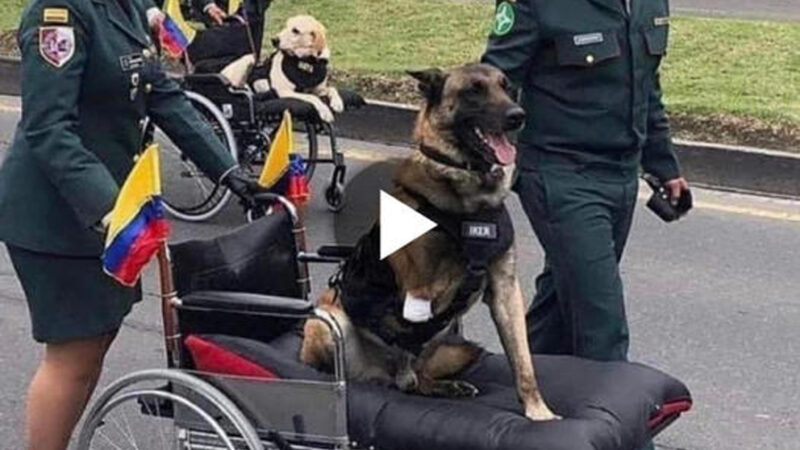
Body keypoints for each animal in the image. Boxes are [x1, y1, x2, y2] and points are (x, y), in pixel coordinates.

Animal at [304, 63, 560, 422]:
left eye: (507, 87)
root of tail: (378, 374)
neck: (470, 197)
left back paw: (443, 385)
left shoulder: (506, 291)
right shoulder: (421, 292)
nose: (517, 116)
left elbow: (523, 361)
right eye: (473, 91)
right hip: (328, 324)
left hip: (456, 345)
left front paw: (538, 411)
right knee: (396, 375)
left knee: (415, 376)